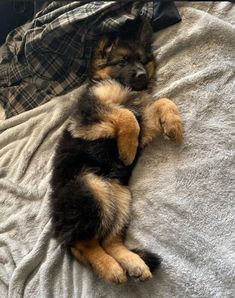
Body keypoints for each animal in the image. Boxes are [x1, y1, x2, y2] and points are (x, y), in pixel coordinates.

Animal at [50, 19, 184, 284]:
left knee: (109, 241)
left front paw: (173, 125)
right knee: (82, 245)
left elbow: (160, 102)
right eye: (122, 62)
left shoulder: (144, 121)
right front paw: (127, 149)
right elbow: (126, 115)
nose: (142, 75)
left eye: (142, 60)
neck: (125, 88)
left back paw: (132, 263)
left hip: (120, 197)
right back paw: (110, 268)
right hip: (91, 188)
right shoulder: (90, 113)